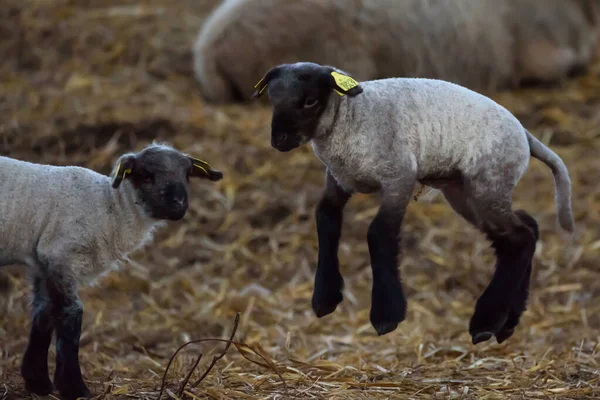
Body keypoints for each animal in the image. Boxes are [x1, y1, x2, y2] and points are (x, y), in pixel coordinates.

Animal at [0, 144, 224, 400]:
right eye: (146, 176)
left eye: (187, 175)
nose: (178, 204)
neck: (111, 208)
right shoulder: (60, 255)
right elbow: (71, 315)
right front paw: (74, 388)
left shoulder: (42, 261)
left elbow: (43, 313)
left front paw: (38, 382)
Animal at [250, 61, 576, 346]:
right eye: (273, 100)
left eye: (309, 101)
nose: (279, 140)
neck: (350, 117)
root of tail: (525, 134)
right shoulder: (339, 181)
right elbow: (325, 219)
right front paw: (324, 299)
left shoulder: (399, 177)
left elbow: (378, 233)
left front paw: (386, 315)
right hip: (465, 192)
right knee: (523, 231)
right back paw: (506, 324)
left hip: (487, 183)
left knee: (520, 238)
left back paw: (486, 322)